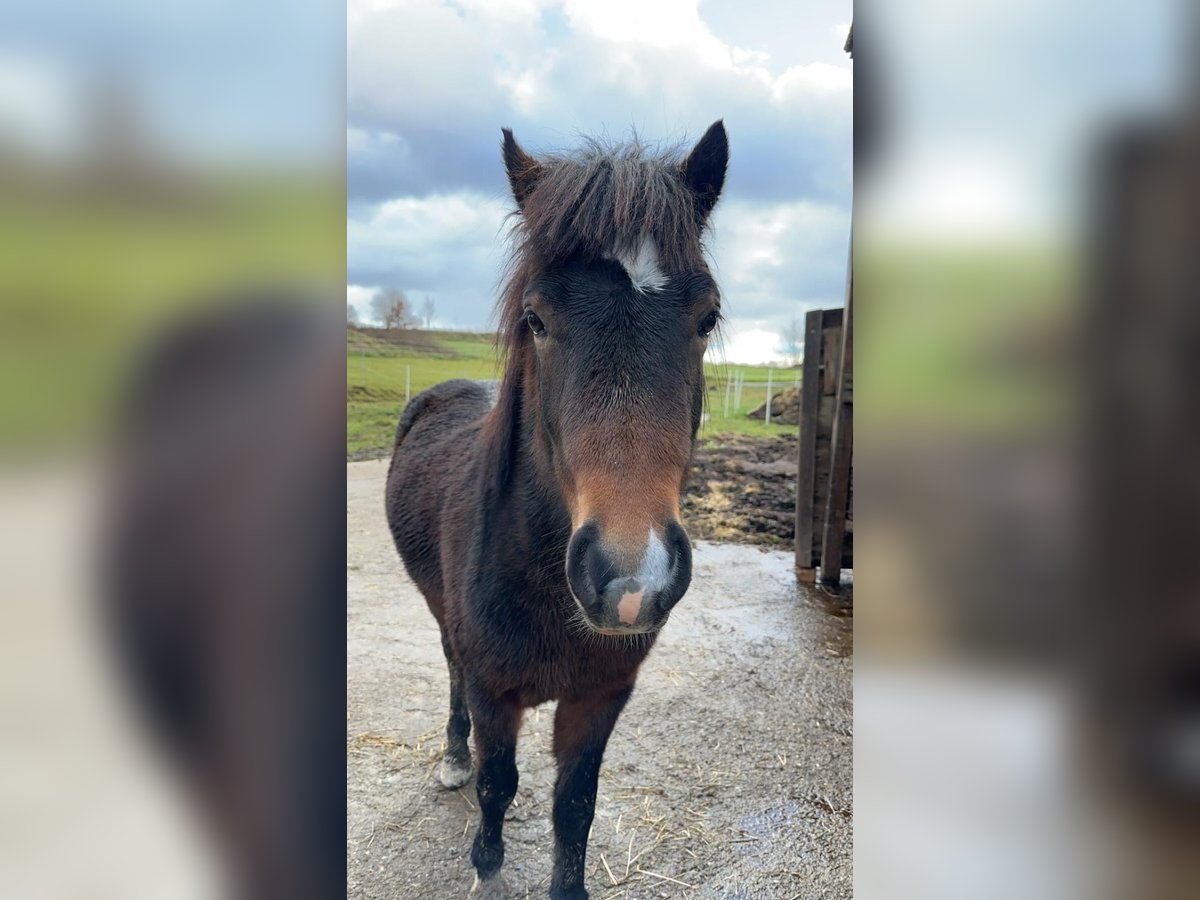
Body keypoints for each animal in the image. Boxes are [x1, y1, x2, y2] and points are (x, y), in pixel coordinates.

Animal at [384, 121, 724, 900]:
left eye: (707, 318)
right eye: (536, 318)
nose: (632, 579)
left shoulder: (600, 696)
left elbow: (575, 804)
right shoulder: (493, 691)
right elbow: (498, 783)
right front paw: (486, 863)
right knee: (451, 675)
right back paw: (452, 758)